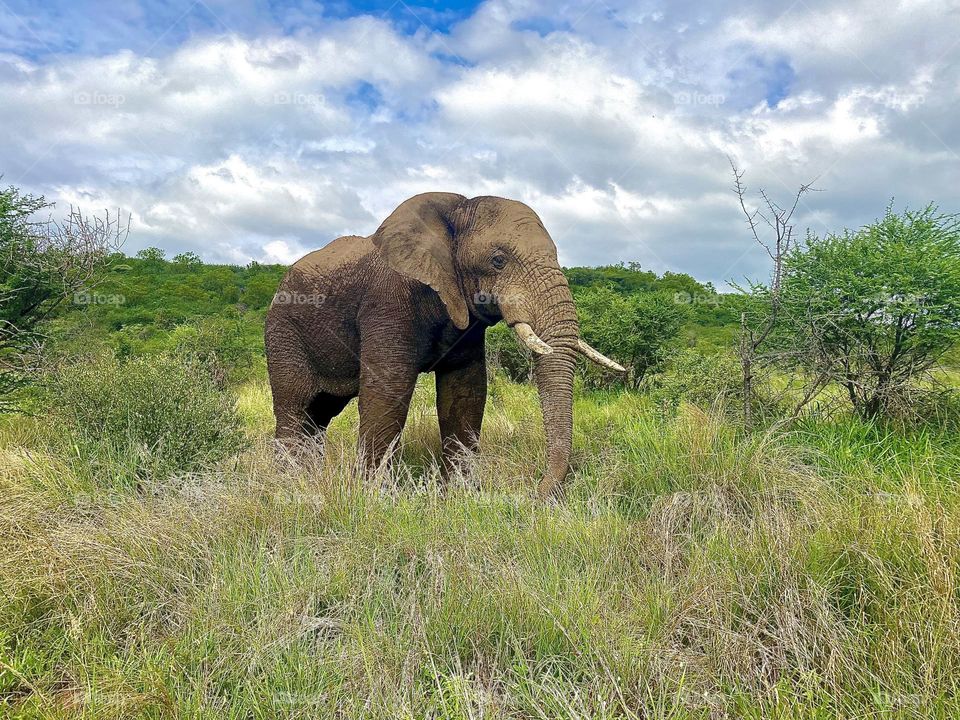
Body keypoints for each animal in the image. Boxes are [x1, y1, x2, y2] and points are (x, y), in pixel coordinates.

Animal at [264, 192, 623, 497]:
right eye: (498, 260)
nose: (535, 493)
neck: (457, 210)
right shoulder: (386, 301)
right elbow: (389, 390)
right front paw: (371, 497)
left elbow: (465, 390)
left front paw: (460, 496)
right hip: (282, 332)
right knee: (294, 408)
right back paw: (288, 485)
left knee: (318, 415)